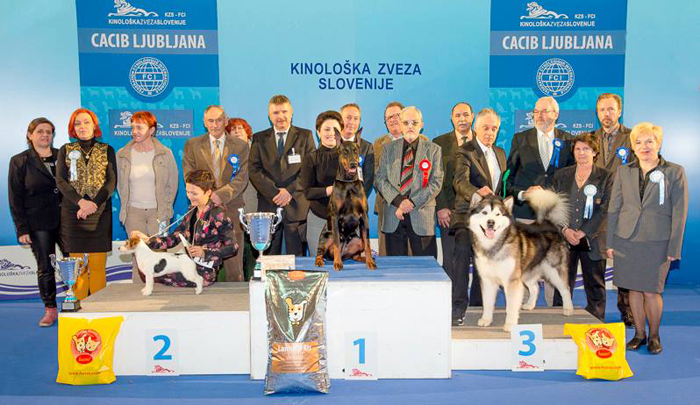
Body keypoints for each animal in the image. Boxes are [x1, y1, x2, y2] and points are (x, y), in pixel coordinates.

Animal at [315, 129, 376, 270]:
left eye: (355, 150)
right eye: (344, 151)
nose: (353, 163)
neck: (349, 182)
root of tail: (344, 253)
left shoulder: (364, 216)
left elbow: (368, 243)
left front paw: (370, 262)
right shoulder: (336, 216)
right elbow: (337, 243)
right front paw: (337, 264)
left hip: (357, 240)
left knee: (357, 253)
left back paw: (363, 259)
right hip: (327, 236)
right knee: (321, 252)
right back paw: (321, 261)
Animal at [468, 188, 574, 332]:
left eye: (497, 214)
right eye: (484, 212)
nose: (491, 222)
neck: (493, 245)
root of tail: (549, 223)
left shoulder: (512, 280)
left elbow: (511, 306)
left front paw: (510, 324)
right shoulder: (487, 279)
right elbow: (487, 303)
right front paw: (486, 319)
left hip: (554, 270)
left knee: (565, 288)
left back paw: (568, 308)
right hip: (527, 271)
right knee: (535, 287)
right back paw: (530, 305)